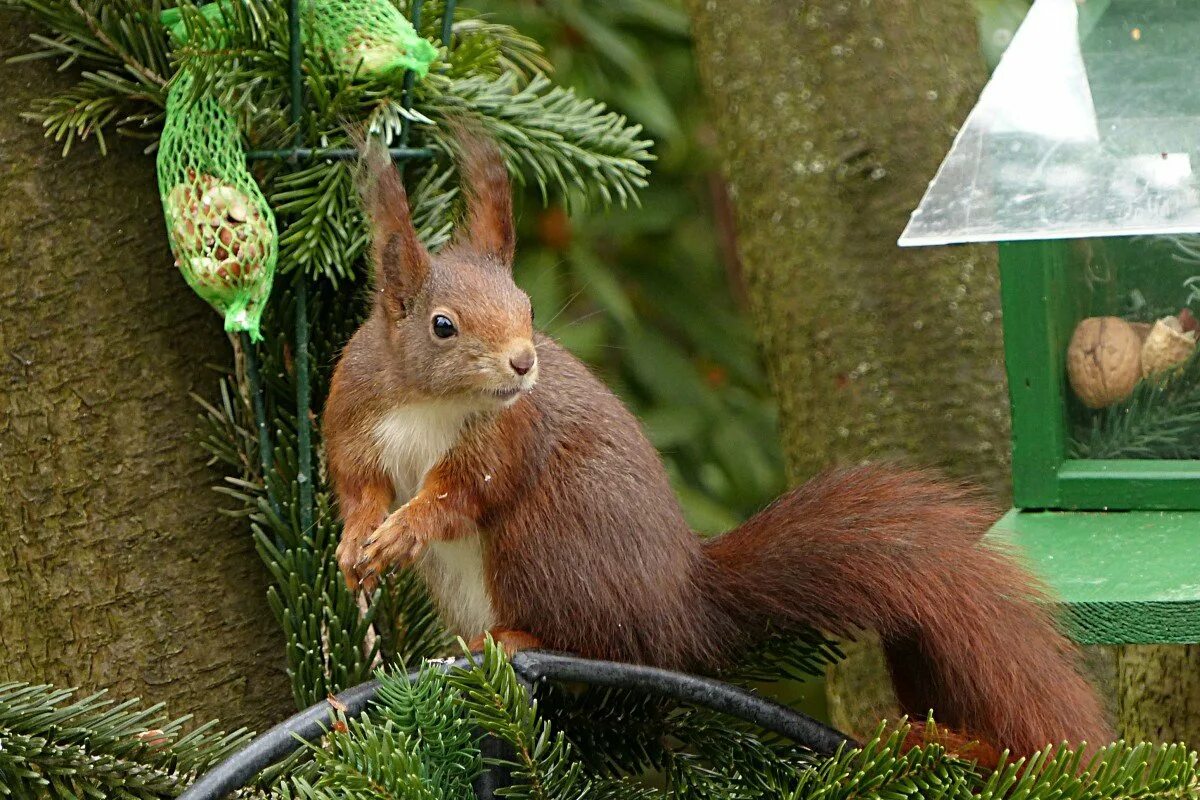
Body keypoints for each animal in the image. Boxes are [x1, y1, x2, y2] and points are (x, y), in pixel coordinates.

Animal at [324, 134, 1108, 762]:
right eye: (443, 325)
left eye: (528, 308)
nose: (523, 364)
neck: (431, 402)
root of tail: (681, 606)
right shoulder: (355, 415)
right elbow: (359, 485)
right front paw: (358, 540)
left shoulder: (506, 437)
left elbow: (461, 493)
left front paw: (405, 527)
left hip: (548, 543)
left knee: (599, 641)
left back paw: (518, 641)